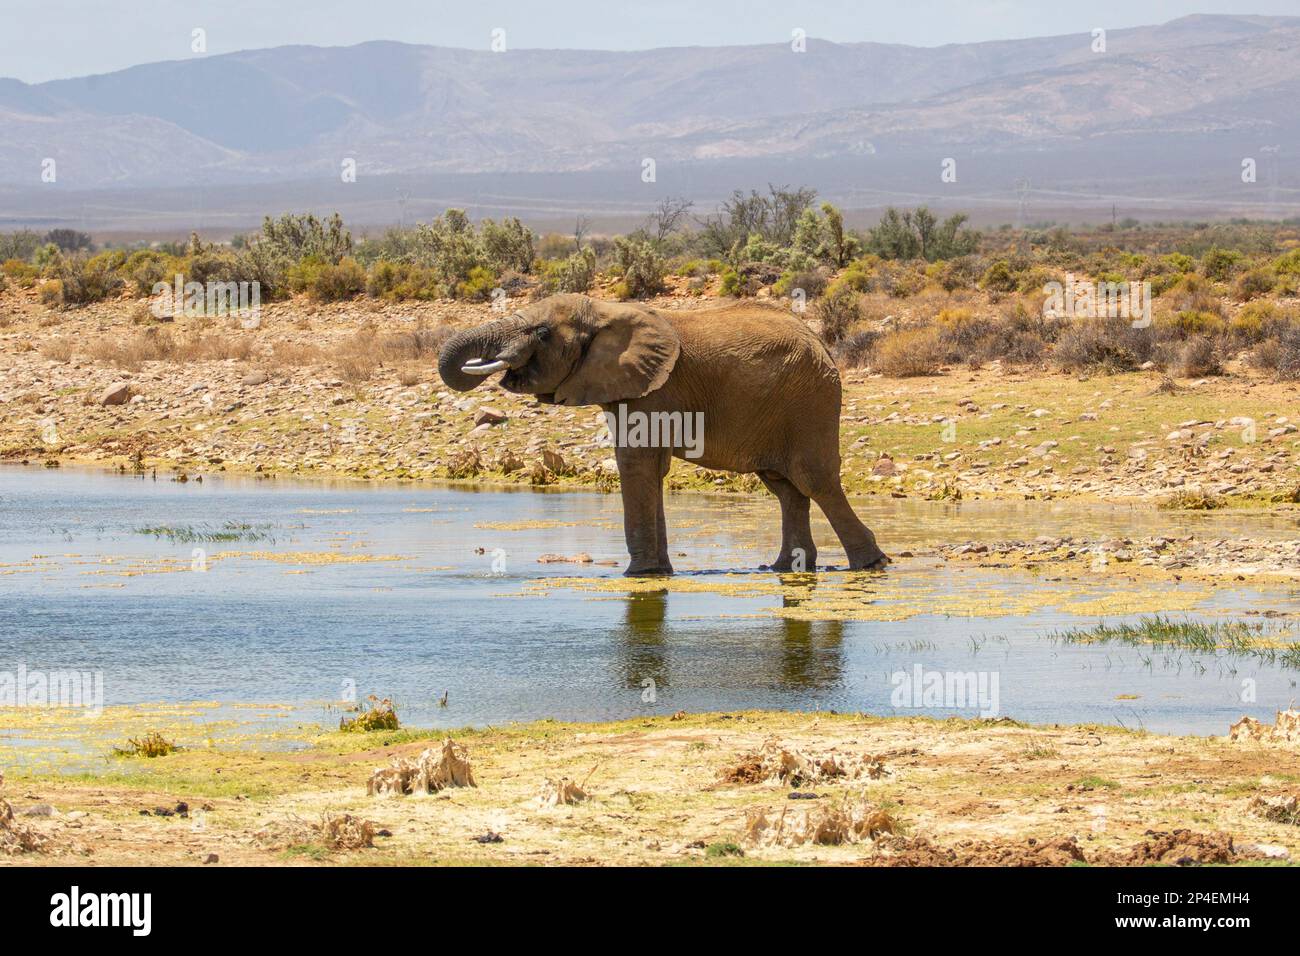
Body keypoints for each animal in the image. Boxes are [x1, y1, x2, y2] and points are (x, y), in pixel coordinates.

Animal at [441, 293, 889, 574]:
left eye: (542, 333)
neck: (605, 311)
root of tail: (822, 343)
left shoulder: (654, 389)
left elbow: (636, 465)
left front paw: (637, 575)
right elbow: (651, 471)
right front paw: (657, 571)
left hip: (809, 401)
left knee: (815, 481)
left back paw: (871, 564)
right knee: (785, 488)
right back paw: (784, 567)